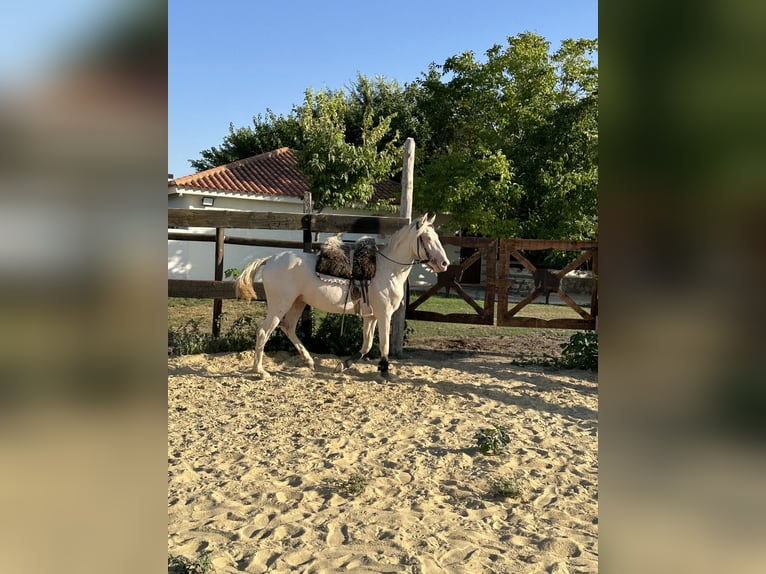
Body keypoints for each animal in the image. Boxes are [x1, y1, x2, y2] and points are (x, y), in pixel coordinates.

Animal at [234, 214, 450, 380]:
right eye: (427, 238)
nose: (444, 263)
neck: (387, 269)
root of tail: (270, 260)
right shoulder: (384, 315)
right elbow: (384, 345)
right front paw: (385, 372)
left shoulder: (371, 317)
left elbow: (366, 345)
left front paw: (342, 366)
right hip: (280, 305)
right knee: (264, 331)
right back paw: (260, 371)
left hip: (297, 303)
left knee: (288, 328)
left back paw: (309, 361)